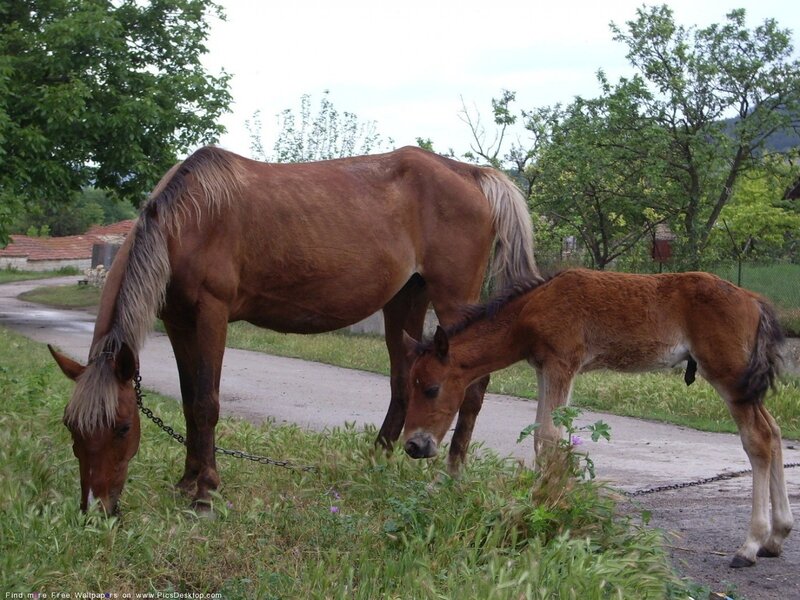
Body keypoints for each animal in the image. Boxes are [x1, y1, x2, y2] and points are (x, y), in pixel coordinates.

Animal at [48, 145, 540, 514]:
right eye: (71, 427)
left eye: (122, 428)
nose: (96, 510)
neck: (188, 220)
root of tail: (472, 174)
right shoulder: (177, 321)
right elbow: (189, 403)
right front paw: (187, 482)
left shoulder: (211, 314)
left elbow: (206, 403)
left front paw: (206, 492)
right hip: (406, 299)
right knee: (404, 382)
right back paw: (373, 465)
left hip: (454, 300)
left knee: (471, 384)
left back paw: (452, 473)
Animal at [401, 268, 792, 568]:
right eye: (411, 385)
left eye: (431, 388)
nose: (414, 445)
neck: (532, 308)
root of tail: (753, 300)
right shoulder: (545, 367)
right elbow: (548, 436)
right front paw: (549, 505)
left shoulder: (561, 363)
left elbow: (548, 437)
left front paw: (544, 510)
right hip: (743, 382)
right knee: (774, 432)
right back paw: (777, 536)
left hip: (729, 375)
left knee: (758, 439)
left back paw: (750, 545)